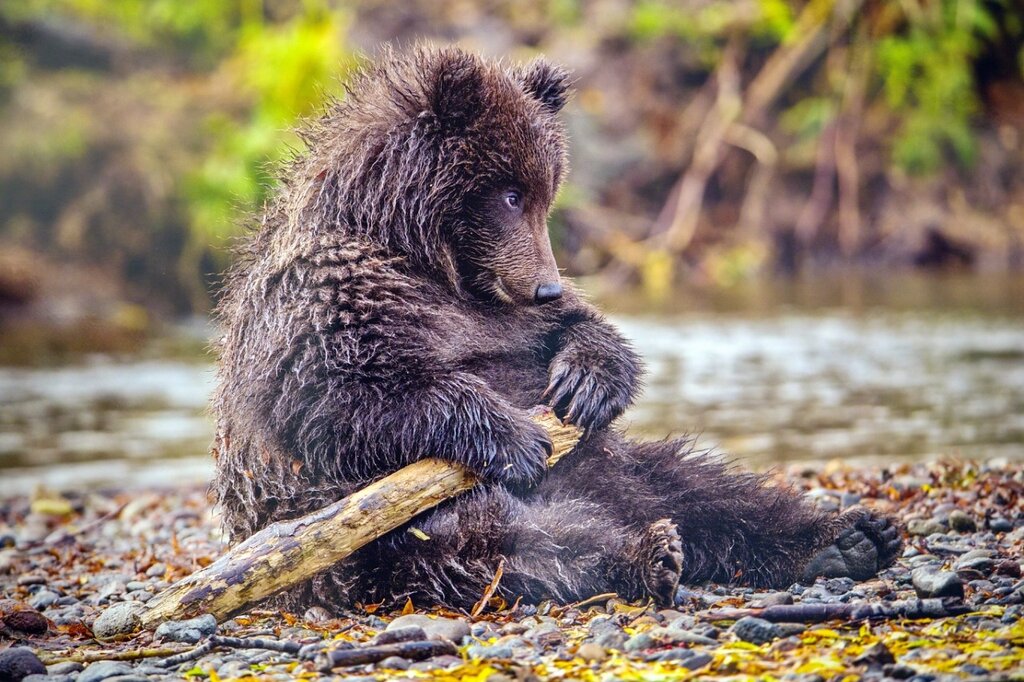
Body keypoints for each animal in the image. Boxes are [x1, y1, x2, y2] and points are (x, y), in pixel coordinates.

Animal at [211, 45, 901, 606]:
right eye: (510, 193)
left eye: (547, 191)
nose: (545, 282)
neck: (420, 253)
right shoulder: (324, 299)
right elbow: (336, 396)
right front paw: (516, 435)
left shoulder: (500, 310)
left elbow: (578, 326)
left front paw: (588, 380)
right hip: (386, 544)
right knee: (508, 548)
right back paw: (647, 556)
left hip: (620, 465)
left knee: (711, 490)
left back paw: (848, 536)